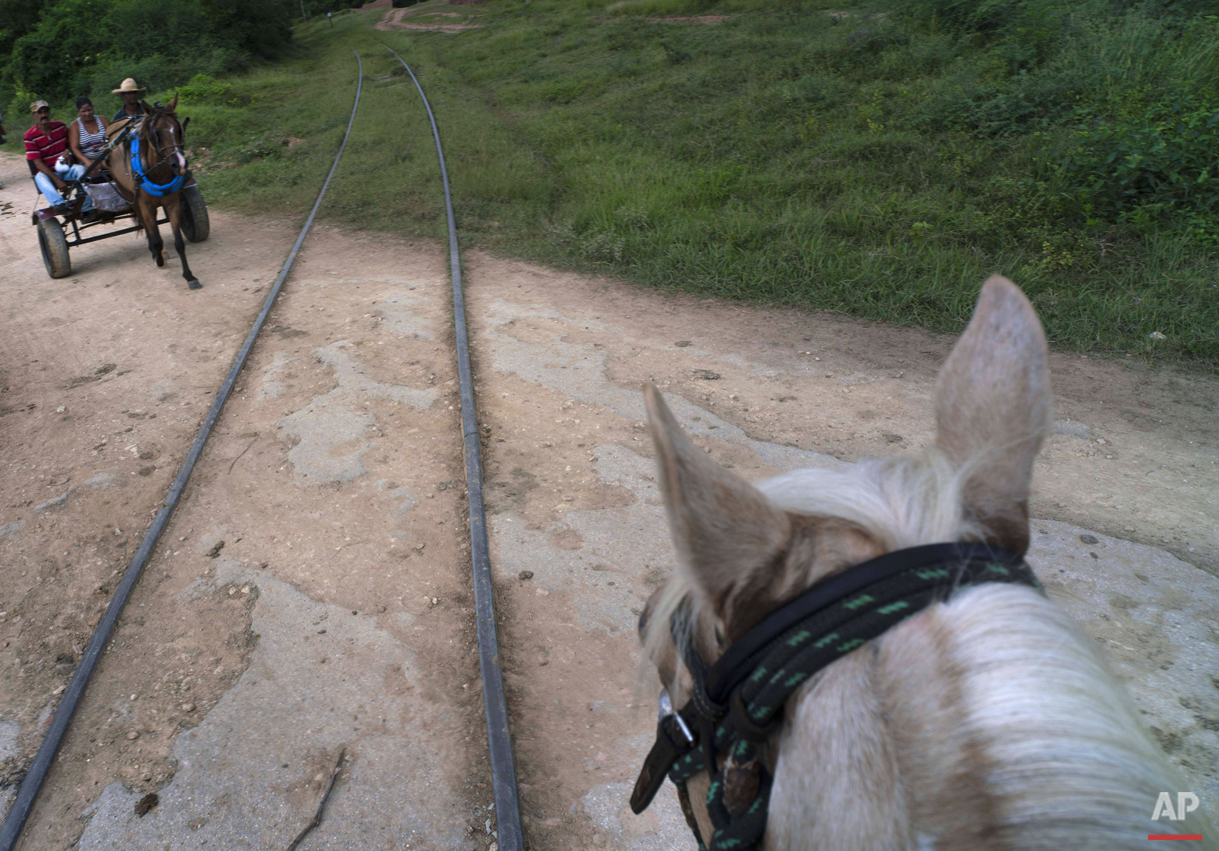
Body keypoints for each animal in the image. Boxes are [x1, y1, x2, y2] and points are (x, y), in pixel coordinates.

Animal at [106, 93, 198, 288]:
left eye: (179, 129)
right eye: (156, 133)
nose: (180, 165)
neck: (158, 173)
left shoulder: (172, 202)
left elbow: (179, 242)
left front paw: (189, 275)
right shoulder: (144, 204)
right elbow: (155, 239)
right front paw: (158, 258)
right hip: (129, 196)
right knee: (145, 223)